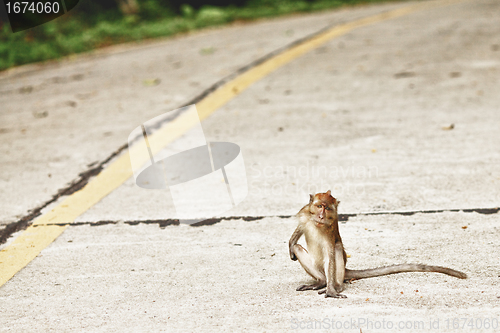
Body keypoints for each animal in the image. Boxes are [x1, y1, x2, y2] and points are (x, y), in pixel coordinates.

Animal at [290, 191, 468, 296]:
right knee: (299, 248)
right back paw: (320, 282)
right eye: (319, 206)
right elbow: (296, 237)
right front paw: (290, 247)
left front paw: (332, 292)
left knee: (337, 249)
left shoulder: (329, 230)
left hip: (333, 274)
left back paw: (335, 285)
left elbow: (331, 255)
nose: (321, 215)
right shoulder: (305, 215)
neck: (317, 223)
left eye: (327, 209)